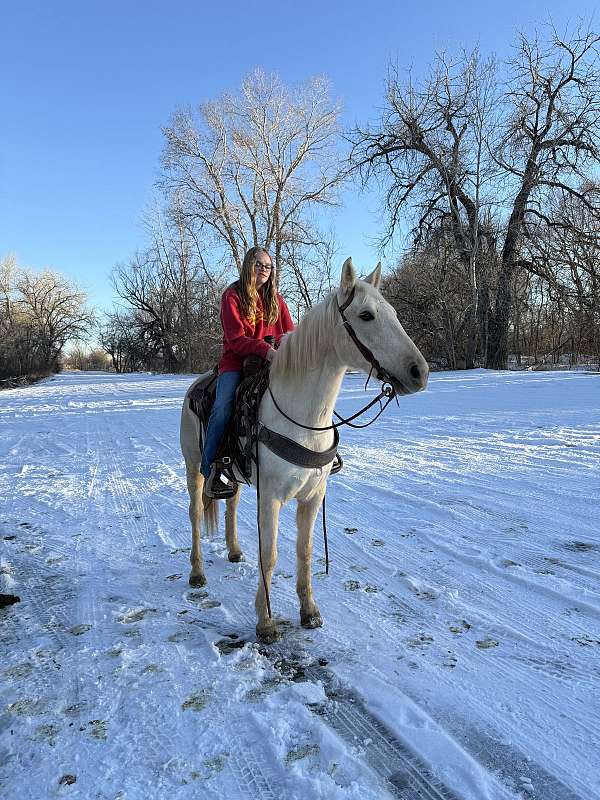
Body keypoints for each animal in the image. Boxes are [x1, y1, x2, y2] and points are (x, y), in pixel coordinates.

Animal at [180, 258, 428, 644]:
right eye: (366, 315)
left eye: (394, 313)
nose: (419, 372)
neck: (302, 417)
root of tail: (196, 386)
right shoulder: (271, 498)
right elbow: (270, 555)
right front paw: (265, 622)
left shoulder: (312, 497)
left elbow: (305, 551)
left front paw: (309, 611)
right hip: (195, 467)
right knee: (194, 513)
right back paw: (196, 573)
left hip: (232, 473)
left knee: (231, 502)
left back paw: (234, 551)